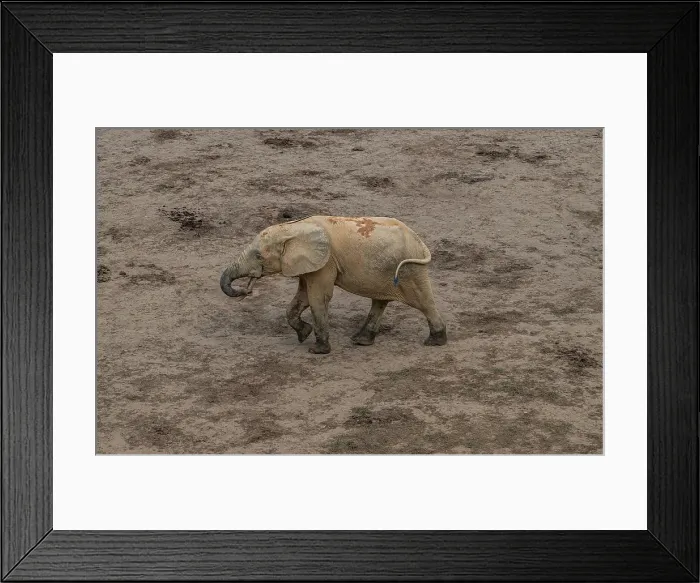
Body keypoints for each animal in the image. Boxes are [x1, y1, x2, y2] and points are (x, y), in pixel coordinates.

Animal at [220, 215, 447, 354]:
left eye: (259, 256)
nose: (245, 290)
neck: (293, 227)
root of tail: (420, 242)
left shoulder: (326, 262)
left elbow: (318, 297)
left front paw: (317, 350)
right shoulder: (311, 263)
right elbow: (302, 297)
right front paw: (304, 334)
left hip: (411, 269)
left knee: (423, 301)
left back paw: (435, 341)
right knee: (380, 301)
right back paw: (360, 340)